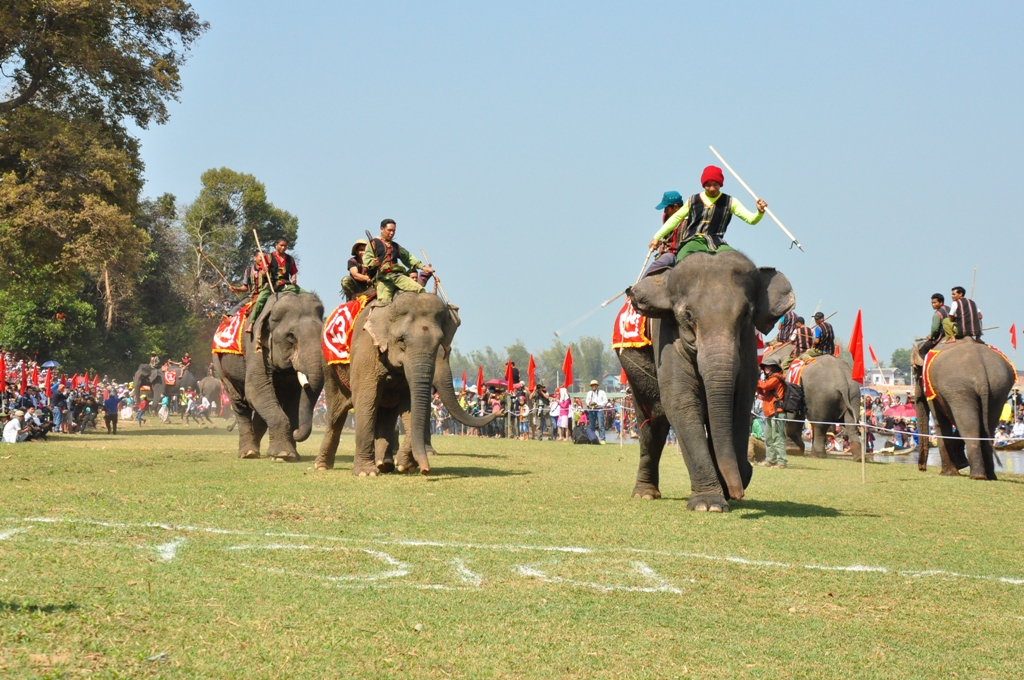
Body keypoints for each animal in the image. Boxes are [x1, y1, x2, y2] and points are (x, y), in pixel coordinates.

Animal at [214, 288, 325, 458]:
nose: (296, 432)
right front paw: (283, 454)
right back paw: (248, 453)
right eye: (291, 337)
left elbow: (293, 397)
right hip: (220, 367)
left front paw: (292, 454)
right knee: (240, 402)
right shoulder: (255, 346)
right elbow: (255, 389)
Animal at [315, 288, 499, 475]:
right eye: (401, 340)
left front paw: (405, 465)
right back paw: (322, 466)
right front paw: (366, 473)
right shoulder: (366, 347)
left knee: (385, 413)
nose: (426, 470)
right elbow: (367, 397)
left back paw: (385, 464)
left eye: (440, 342)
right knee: (337, 413)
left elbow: (411, 403)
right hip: (329, 369)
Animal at [614, 249, 790, 510]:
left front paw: (733, 482)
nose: (738, 493)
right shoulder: (666, 336)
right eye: (687, 316)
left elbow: (741, 402)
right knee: (653, 423)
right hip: (632, 367)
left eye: (745, 315)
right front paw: (709, 504)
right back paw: (645, 494)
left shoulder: (748, 344)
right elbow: (681, 402)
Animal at [909, 340, 1011, 477]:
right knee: (987, 427)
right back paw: (989, 476)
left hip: (959, 389)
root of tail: (981, 374)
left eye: (915, 371)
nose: (922, 468)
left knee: (969, 428)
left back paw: (977, 476)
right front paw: (960, 465)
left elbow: (940, 421)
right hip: (998, 388)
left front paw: (948, 473)